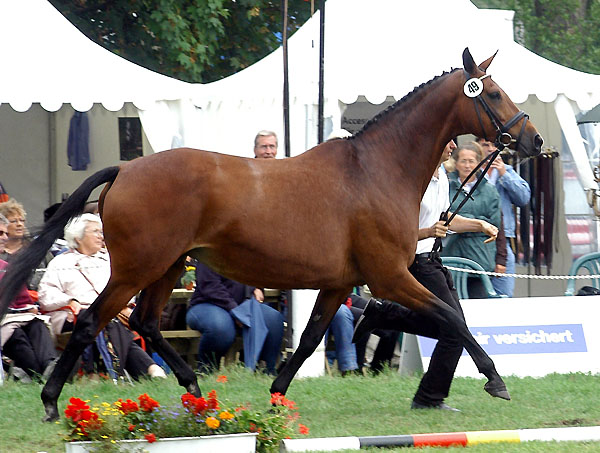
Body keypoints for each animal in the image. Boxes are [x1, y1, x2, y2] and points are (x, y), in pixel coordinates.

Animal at [0, 47, 540, 422]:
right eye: (492, 93)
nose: (532, 139)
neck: (376, 169)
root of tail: (125, 168)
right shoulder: (388, 276)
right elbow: (451, 317)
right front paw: (496, 380)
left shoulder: (340, 283)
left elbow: (309, 338)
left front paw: (277, 394)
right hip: (136, 269)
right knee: (92, 321)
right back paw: (52, 402)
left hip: (168, 267)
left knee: (147, 323)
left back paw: (196, 393)